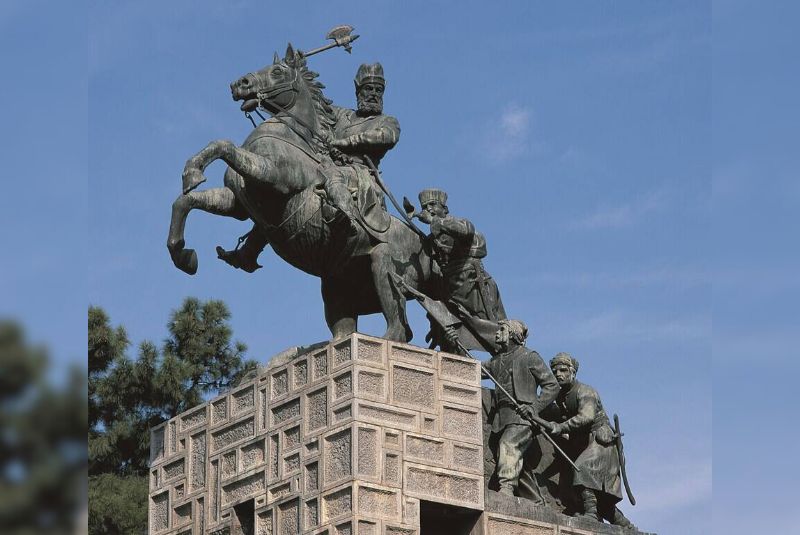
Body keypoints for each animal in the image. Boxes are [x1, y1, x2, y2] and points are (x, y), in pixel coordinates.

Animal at [166, 44, 434, 342]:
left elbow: (224, 145)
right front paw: (183, 254)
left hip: (384, 265)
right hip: (337, 285)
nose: (239, 84)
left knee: (399, 327)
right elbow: (186, 200)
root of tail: (426, 248)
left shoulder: (272, 176)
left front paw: (193, 171)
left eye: (277, 71)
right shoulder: (237, 203)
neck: (290, 135)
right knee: (345, 326)